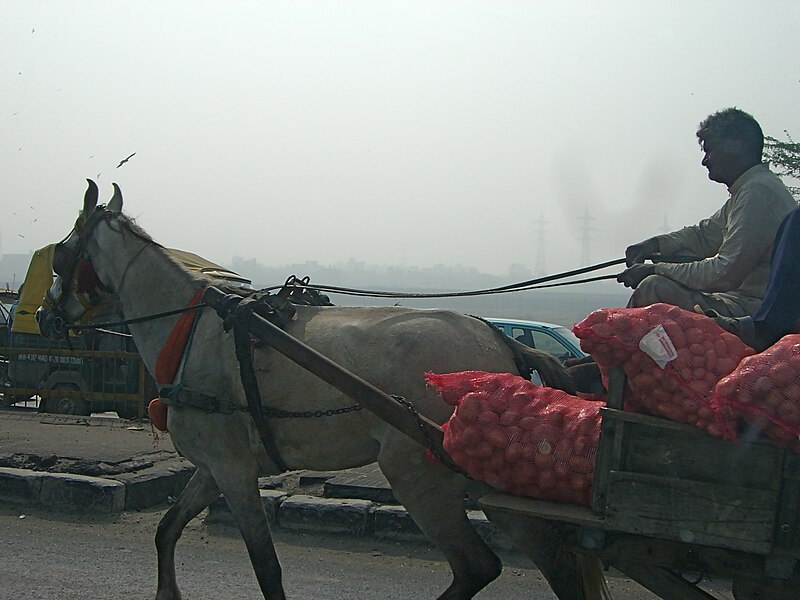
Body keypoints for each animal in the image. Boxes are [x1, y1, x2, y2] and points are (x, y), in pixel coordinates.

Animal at [34, 182, 592, 600]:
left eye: (62, 253)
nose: (43, 315)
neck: (190, 329)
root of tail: (499, 341)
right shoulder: (216, 466)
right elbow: (167, 527)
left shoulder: (233, 469)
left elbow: (266, 566)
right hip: (490, 485)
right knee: (556, 562)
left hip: (419, 476)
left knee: (478, 566)